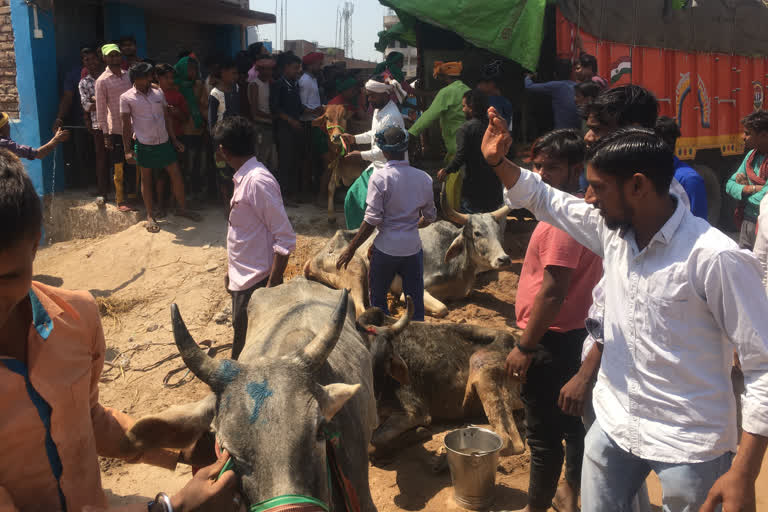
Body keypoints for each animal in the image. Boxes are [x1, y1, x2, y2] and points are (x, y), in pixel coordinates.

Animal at [304, 190, 510, 316]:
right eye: (477, 233)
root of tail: (314, 258)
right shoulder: (417, 288)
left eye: (498, 231)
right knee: (361, 308)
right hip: (357, 268)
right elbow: (442, 308)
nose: (504, 259)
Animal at [356, 308, 524, 456]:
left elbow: (374, 441)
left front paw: (420, 432)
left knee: (509, 443)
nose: (374, 399)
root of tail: (516, 339)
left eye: (387, 359)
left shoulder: (415, 412)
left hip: (481, 362)